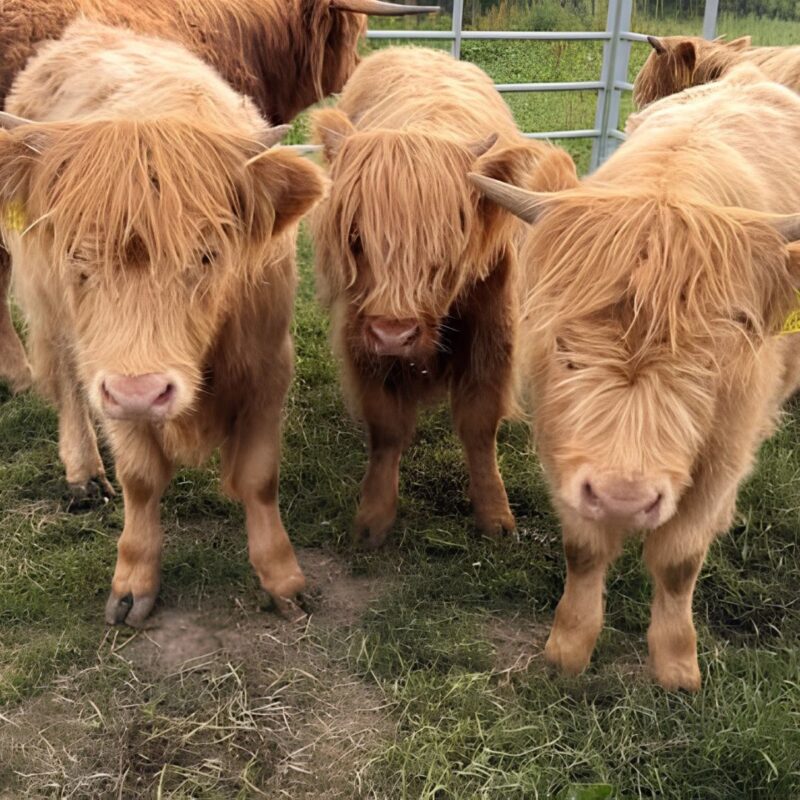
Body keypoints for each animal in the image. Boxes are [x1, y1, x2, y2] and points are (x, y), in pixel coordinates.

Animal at [0, 20, 326, 625]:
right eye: (79, 255)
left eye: (207, 254)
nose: (141, 391)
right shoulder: (109, 375)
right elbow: (140, 478)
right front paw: (133, 582)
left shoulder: (267, 362)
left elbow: (258, 477)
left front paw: (283, 580)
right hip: (52, 314)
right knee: (66, 385)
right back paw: (83, 474)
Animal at [311, 46, 577, 549]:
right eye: (356, 237)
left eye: (446, 239)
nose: (393, 333)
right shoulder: (362, 339)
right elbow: (386, 429)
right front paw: (373, 518)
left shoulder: (493, 334)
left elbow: (479, 424)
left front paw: (496, 517)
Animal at [470, 68, 800, 690]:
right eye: (564, 348)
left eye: (708, 363)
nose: (624, 499)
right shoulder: (565, 448)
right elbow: (583, 549)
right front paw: (569, 648)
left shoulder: (725, 447)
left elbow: (678, 561)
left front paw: (676, 666)